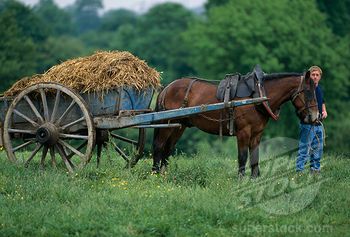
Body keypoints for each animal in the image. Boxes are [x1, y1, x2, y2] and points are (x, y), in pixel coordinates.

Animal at [152, 70, 318, 178]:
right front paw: (241, 179)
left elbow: (255, 156)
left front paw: (254, 178)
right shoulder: (244, 131)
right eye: (308, 92)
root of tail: (167, 88)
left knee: (168, 148)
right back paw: (155, 173)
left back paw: (164, 175)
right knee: (159, 146)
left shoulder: (257, 133)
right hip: (167, 124)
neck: (257, 96)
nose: (315, 116)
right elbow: (243, 156)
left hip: (178, 126)